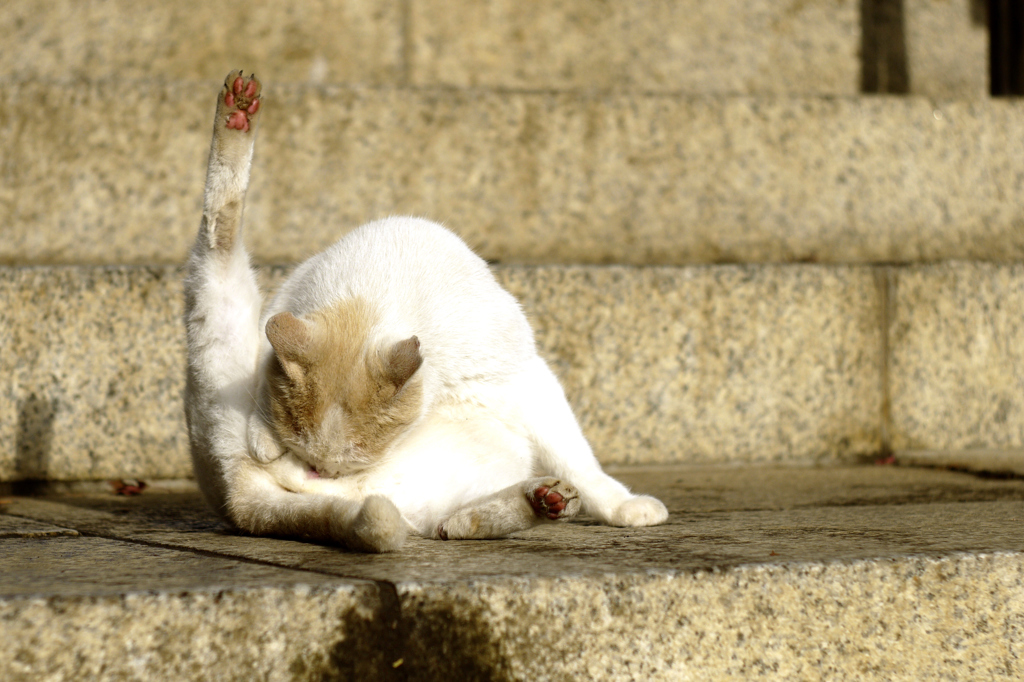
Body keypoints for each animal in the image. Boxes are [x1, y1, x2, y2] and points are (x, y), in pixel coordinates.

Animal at [185, 71, 667, 548]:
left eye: (349, 459)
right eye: (309, 455)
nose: (320, 472)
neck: (370, 296)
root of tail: (243, 501)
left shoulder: (528, 380)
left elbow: (582, 463)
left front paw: (625, 508)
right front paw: (265, 438)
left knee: (458, 524)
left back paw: (545, 500)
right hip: (217, 306)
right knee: (220, 222)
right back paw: (237, 110)